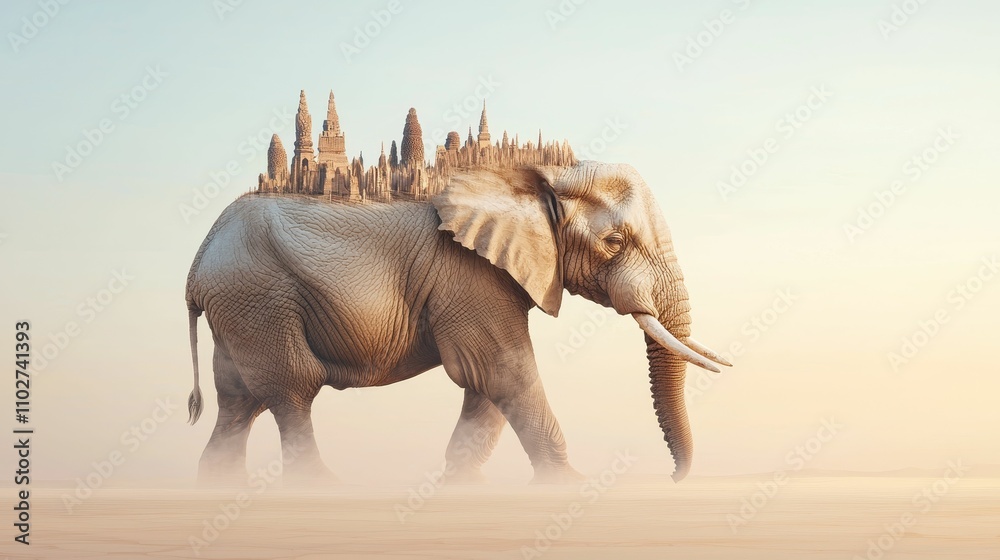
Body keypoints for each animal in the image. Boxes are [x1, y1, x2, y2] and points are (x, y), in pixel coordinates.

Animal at [184, 160, 730, 485]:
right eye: (614, 242)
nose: (673, 480)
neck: (539, 177)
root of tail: (199, 260)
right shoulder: (470, 277)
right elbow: (503, 372)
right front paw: (570, 487)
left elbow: (488, 387)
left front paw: (460, 488)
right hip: (258, 297)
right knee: (292, 390)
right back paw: (321, 489)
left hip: (239, 308)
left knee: (239, 403)